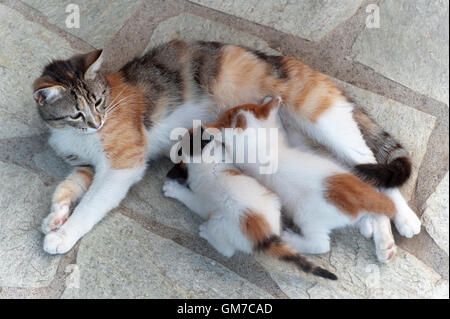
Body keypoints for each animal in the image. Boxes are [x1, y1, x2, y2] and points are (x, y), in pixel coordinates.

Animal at [163, 127, 336, 280]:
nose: (202, 127)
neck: (208, 163)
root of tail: (266, 236)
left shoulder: (201, 200)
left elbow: (189, 198)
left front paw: (172, 189)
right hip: (272, 200)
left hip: (218, 222)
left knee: (226, 251)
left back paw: (205, 232)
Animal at [207, 97, 398, 262]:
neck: (256, 145)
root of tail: (351, 194)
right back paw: (367, 225)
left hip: (307, 215)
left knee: (321, 245)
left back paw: (290, 238)